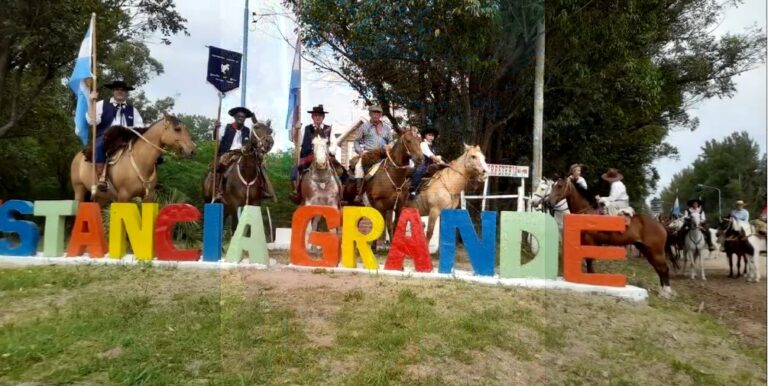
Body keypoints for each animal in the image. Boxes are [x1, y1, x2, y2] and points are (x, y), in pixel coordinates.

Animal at [544, 176, 672, 298]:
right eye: (553, 185)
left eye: (560, 186)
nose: (548, 202)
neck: (587, 213)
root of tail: (660, 225)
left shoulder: (589, 242)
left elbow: (589, 262)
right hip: (646, 250)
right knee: (659, 269)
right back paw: (662, 292)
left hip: (656, 251)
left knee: (664, 268)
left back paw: (666, 293)